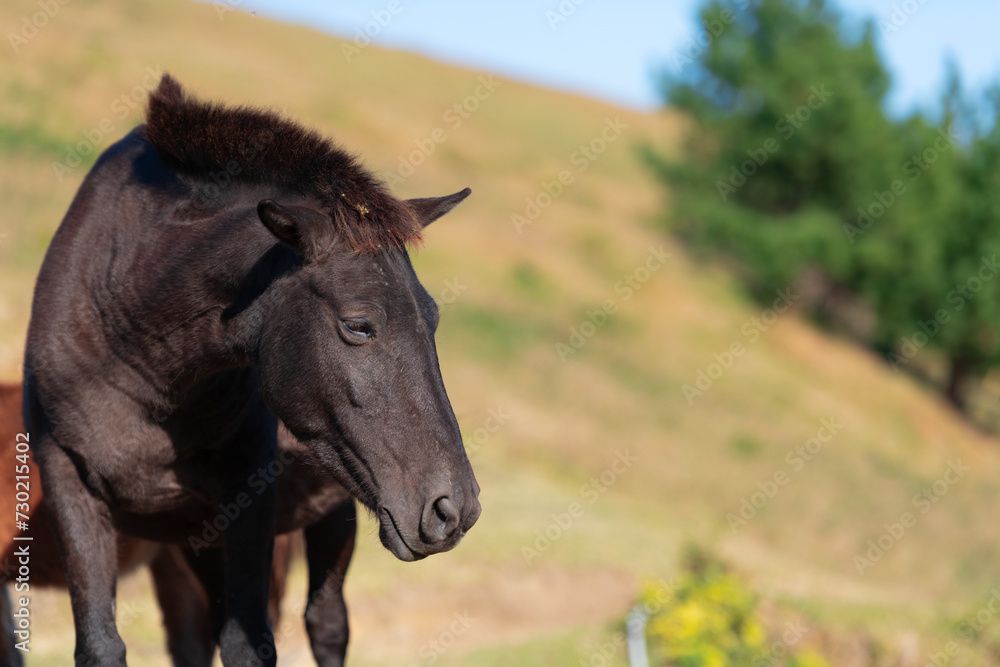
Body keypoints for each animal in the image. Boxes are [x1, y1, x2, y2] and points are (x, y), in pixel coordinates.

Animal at [20, 74, 480, 667]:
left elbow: (249, 643)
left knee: (326, 623)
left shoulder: (248, 497)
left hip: (335, 515)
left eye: (434, 317)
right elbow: (101, 643)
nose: (454, 509)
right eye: (358, 325)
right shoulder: (68, 481)